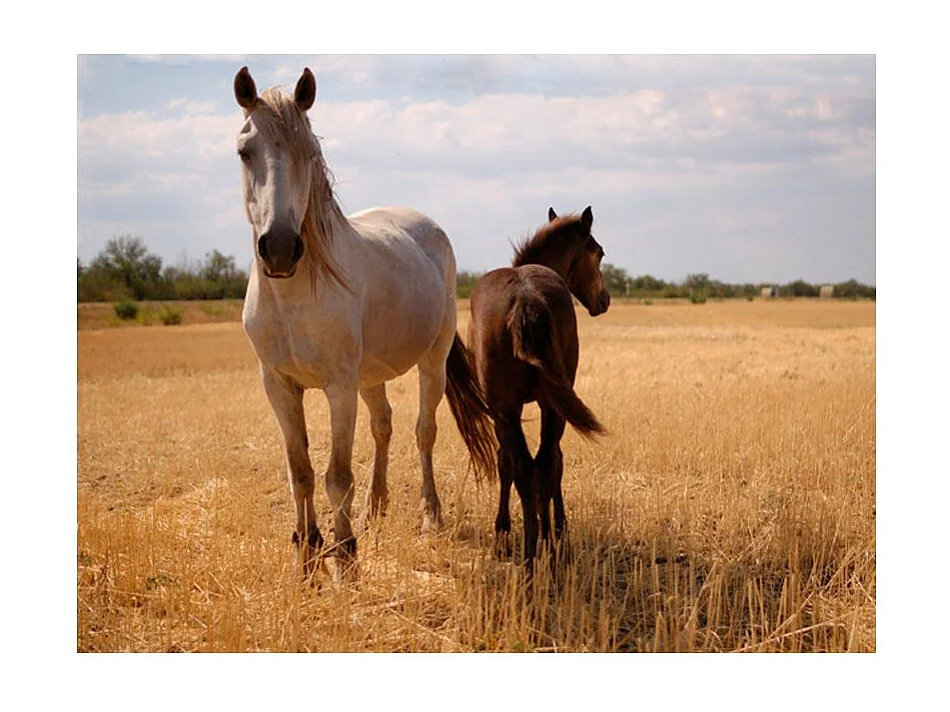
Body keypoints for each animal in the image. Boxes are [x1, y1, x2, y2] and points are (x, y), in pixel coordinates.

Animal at [233, 66, 496, 576]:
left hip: (430, 362)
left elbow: (336, 475)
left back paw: (430, 515)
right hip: (370, 376)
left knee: (423, 431)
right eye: (244, 151)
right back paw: (377, 507)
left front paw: (345, 553)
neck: (295, 297)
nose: (280, 248)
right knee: (384, 426)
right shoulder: (277, 385)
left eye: (309, 153)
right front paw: (307, 547)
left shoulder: (339, 386)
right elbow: (300, 471)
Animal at [467, 206, 610, 571]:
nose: (604, 300)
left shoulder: (506, 411)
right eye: (599, 251)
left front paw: (506, 533)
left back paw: (535, 552)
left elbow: (511, 464)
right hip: (540, 407)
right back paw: (543, 547)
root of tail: (526, 296)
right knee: (541, 465)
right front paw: (557, 529)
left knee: (529, 467)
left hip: (513, 409)